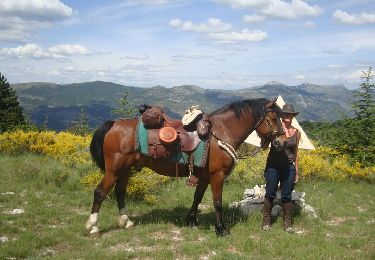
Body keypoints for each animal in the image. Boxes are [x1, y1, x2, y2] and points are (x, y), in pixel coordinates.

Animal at [86, 97, 284, 236]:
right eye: (274, 117)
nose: (282, 141)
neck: (220, 133)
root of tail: (114, 124)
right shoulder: (217, 175)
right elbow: (217, 203)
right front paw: (220, 229)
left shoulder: (204, 177)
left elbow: (197, 198)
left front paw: (191, 221)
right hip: (114, 170)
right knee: (100, 192)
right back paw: (93, 227)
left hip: (125, 170)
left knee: (120, 192)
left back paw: (126, 222)